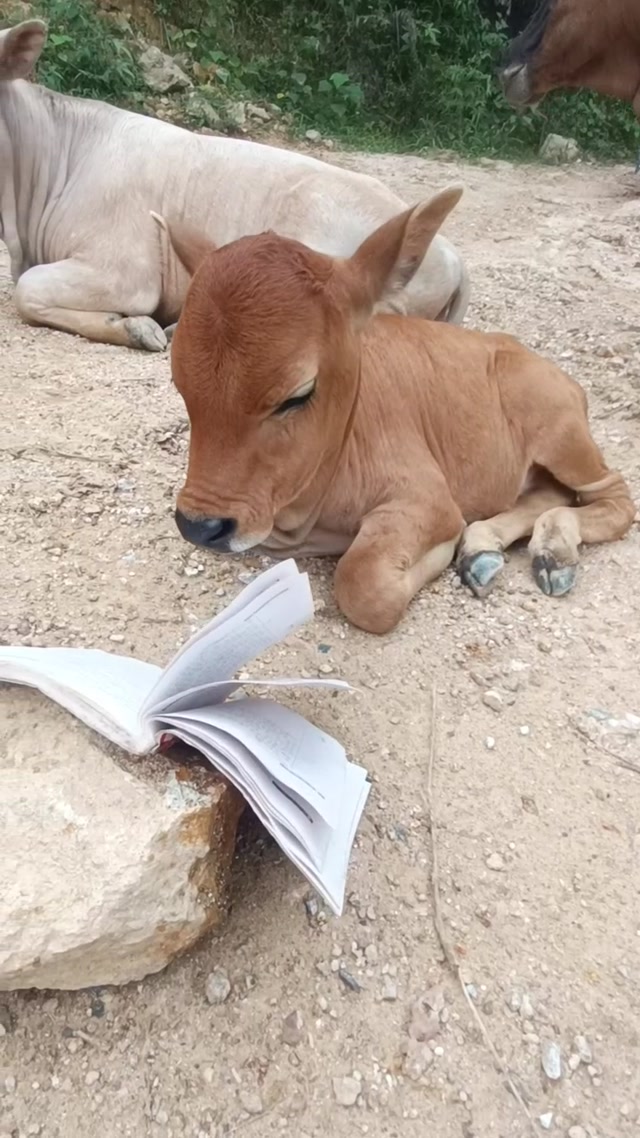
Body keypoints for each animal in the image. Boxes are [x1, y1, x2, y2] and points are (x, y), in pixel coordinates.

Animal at [152, 189, 635, 635]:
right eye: (181, 386)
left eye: (298, 394)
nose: (199, 526)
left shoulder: (428, 500)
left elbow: (365, 585)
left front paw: (442, 551)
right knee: (549, 494)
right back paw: (484, 549)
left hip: (561, 435)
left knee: (614, 497)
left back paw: (552, 551)